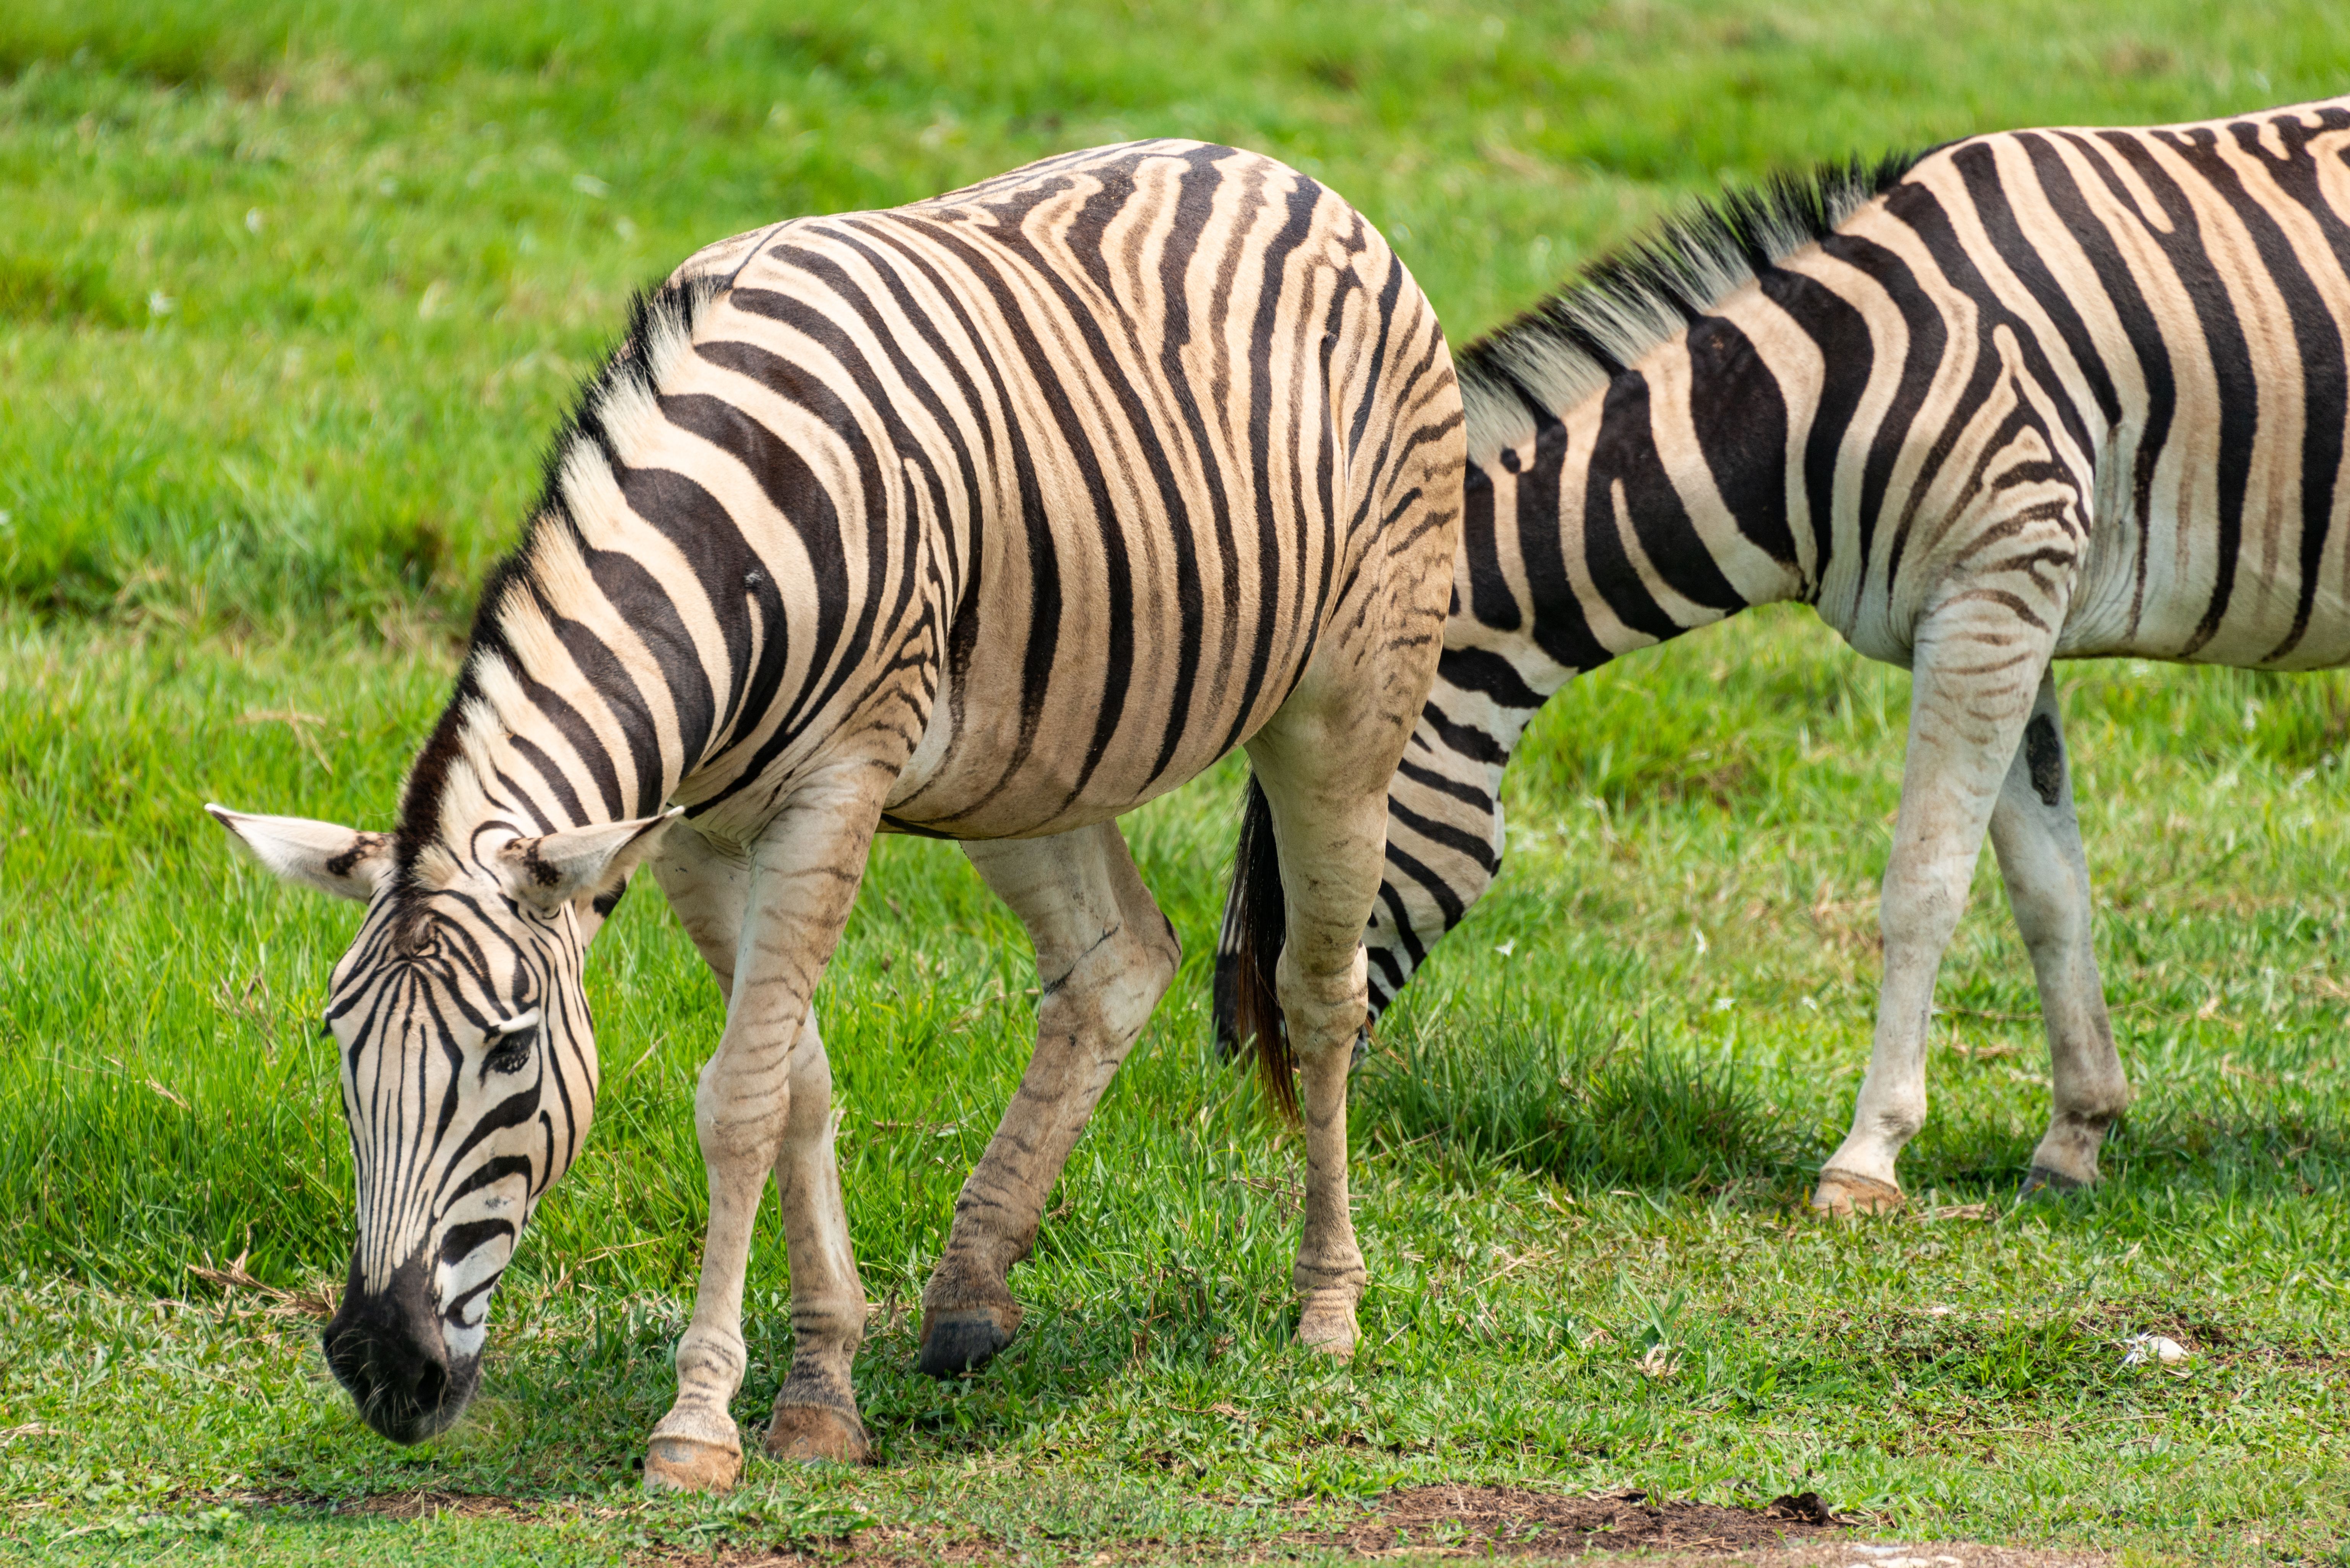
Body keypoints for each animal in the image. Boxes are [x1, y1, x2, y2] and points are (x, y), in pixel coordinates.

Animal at [208, 139, 1464, 1493]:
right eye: (337, 1042)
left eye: (510, 1051)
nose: (382, 1367)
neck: (731, 549)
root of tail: (1266, 166)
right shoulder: (694, 833)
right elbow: (796, 1080)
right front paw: (822, 1384)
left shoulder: (831, 794)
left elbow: (737, 1102)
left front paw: (700, 1419)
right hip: (1031, 754)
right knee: (1117, 959)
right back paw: (970, 1292)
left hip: (1344, 707)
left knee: (1317, 991)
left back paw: (1325, 1303)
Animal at [1211, 96, 2350, 1217]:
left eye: (1314, 828)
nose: (1229, 1059)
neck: (1812, 398)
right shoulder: (2010, 607)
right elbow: (2048, 890)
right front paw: (2075, 1139)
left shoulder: (1993, 596)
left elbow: (1924, 887)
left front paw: (1866, 1158)